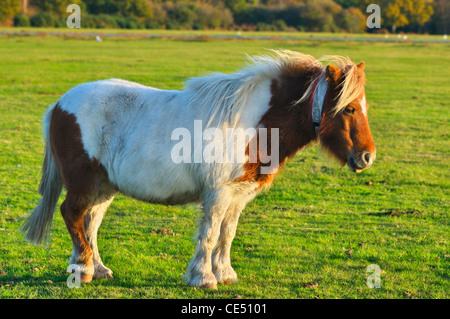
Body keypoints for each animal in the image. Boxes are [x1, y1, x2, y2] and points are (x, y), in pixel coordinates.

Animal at [22, 50, 376, 290]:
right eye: (349, 108)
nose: (367, 157)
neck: (255, 122)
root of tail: (60, 104)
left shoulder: (238, 195)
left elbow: (226, 234)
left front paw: (225, 273)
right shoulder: (218, 193)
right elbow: (209, 234)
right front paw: (204, 277)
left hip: (103, 186)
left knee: (90, 222)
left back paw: (98, 269)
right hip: (83, 183)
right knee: (72, 214)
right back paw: (82, 269)